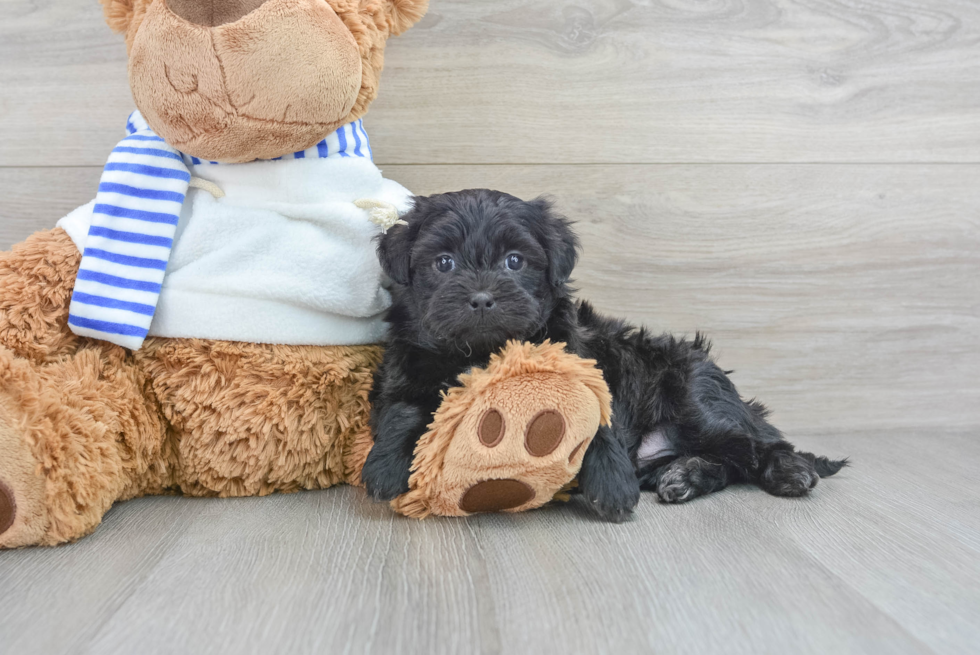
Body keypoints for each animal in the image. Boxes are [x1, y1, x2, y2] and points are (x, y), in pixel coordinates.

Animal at [364, 190, 848, 524]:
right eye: (444, 263)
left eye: (514, 261)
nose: (482, 298)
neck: (483, 352)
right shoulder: (402, 371)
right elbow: (403, 410)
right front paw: (384, 468)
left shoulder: (582, 365)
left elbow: (597, 418)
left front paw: (612, 486)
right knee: (730, 463)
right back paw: (685, 477)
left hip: (695, 394)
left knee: (756, 444)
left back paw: (789, 471)